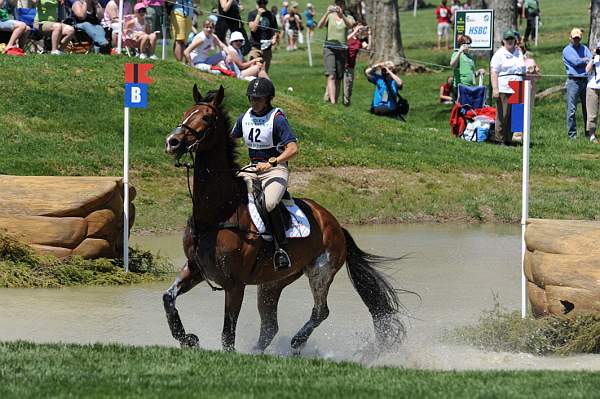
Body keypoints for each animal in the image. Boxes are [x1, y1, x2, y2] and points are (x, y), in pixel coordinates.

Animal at [163, 83, 408, 354]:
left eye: (206, 117)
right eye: (186, 112)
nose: (172, 142)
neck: (217, 213)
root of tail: (335, 224)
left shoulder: (235, 284)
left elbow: (228, 333)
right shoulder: (195, 268)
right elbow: (168, 299)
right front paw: (188, 338)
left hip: (321, 271)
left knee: (320, 311)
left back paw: (296, 343)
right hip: (272, 283)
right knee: (270, 326)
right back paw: (258, 352)